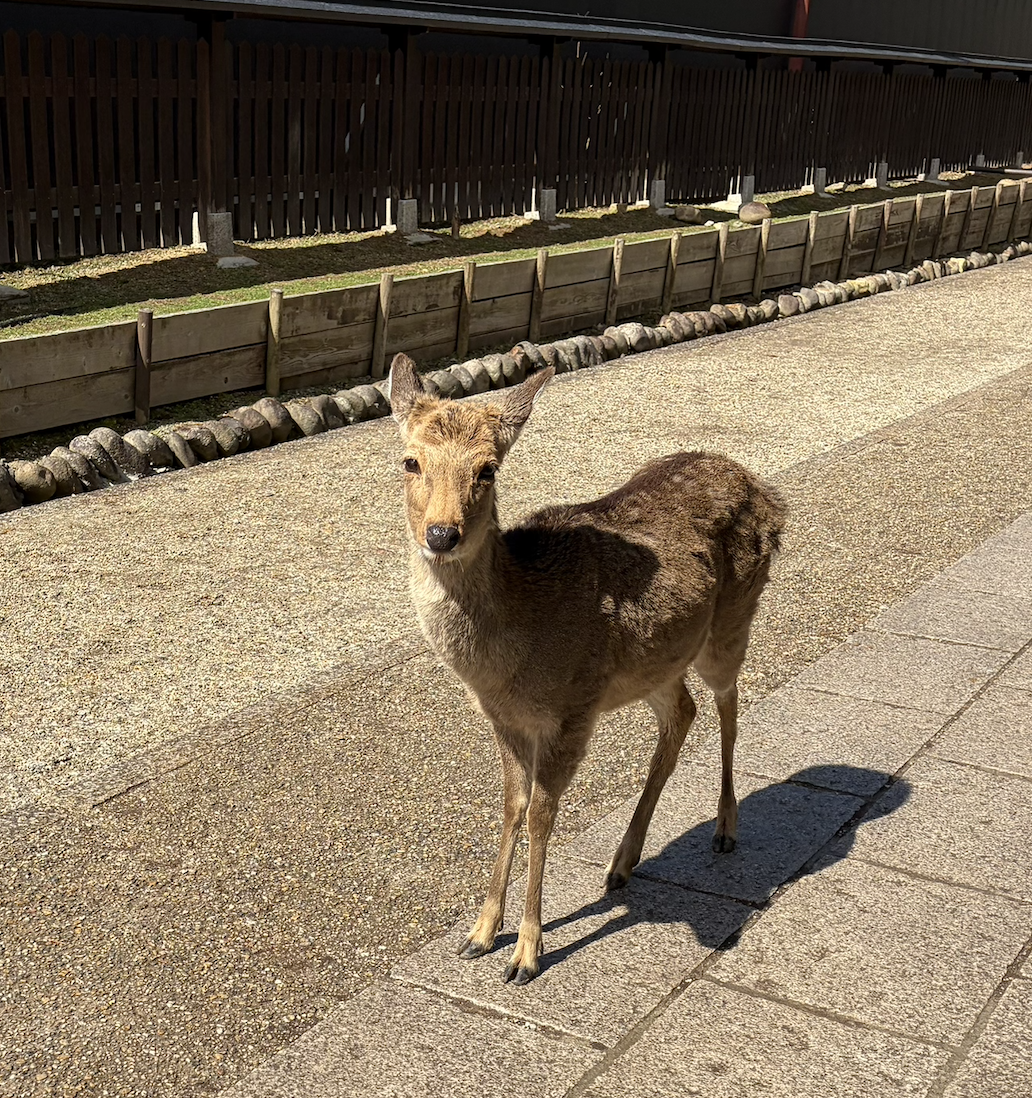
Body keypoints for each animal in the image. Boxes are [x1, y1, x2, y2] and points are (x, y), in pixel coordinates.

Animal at [388, 352, 786, 985]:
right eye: (411, 460)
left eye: (488, 470)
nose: (441, 533)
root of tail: (767, 493)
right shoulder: (503, 718)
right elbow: (512, 806)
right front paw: (479, 934)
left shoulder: (573, 709)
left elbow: (541, 816)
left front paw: (527, 955)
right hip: (655, 662)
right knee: (683, 711)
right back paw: (622, 861)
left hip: (731, 622)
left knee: (728, 701)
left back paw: (725, 828)